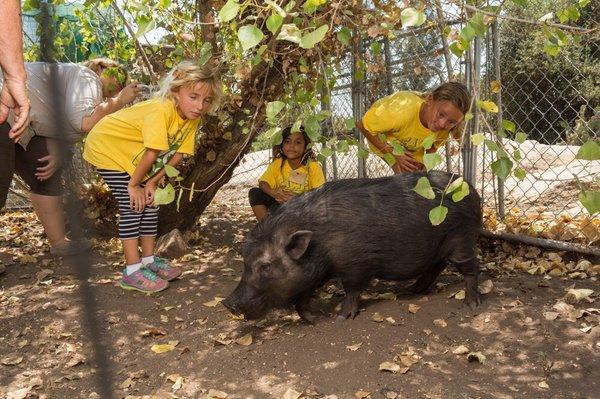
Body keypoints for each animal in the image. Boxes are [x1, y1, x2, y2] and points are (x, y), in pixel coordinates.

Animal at [224, 170, 482, 324]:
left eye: (265, 266)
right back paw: (412, 290)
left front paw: (341, 317)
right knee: (435, 267)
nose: (227, 303)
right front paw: (314, 318)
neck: (319, 244)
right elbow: (303, 295)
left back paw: (471, 305)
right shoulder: (314, 273)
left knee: (471, 268)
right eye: (245, 263)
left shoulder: (355, 265)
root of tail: (473, 189)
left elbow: (351, 289)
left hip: (463, 237)